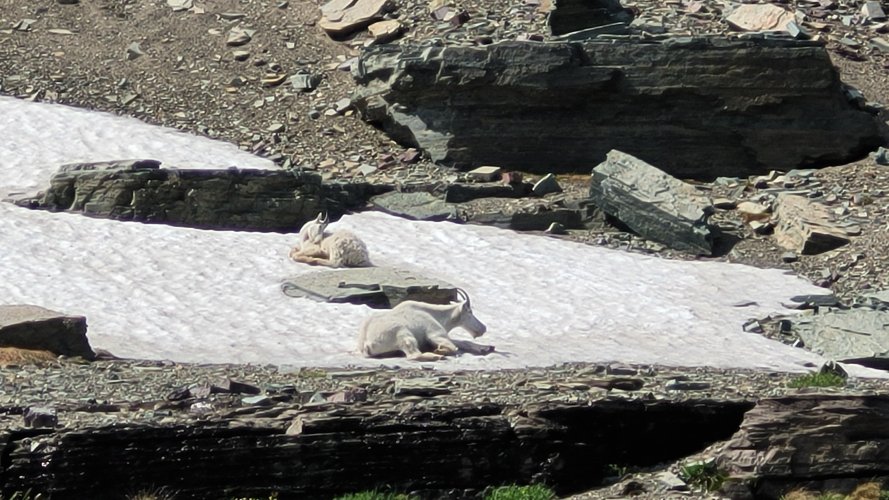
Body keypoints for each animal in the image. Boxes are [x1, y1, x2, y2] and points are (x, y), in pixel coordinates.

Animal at [358, 288, 490, 362]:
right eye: (470, 312)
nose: (483, 328)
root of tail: (366, 345)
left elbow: (462, 342)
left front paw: (484, 348)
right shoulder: (435, 334)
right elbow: (453, 347)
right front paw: (439, 350)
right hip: (404, 335)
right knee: (413, 355)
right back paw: (437, 356)